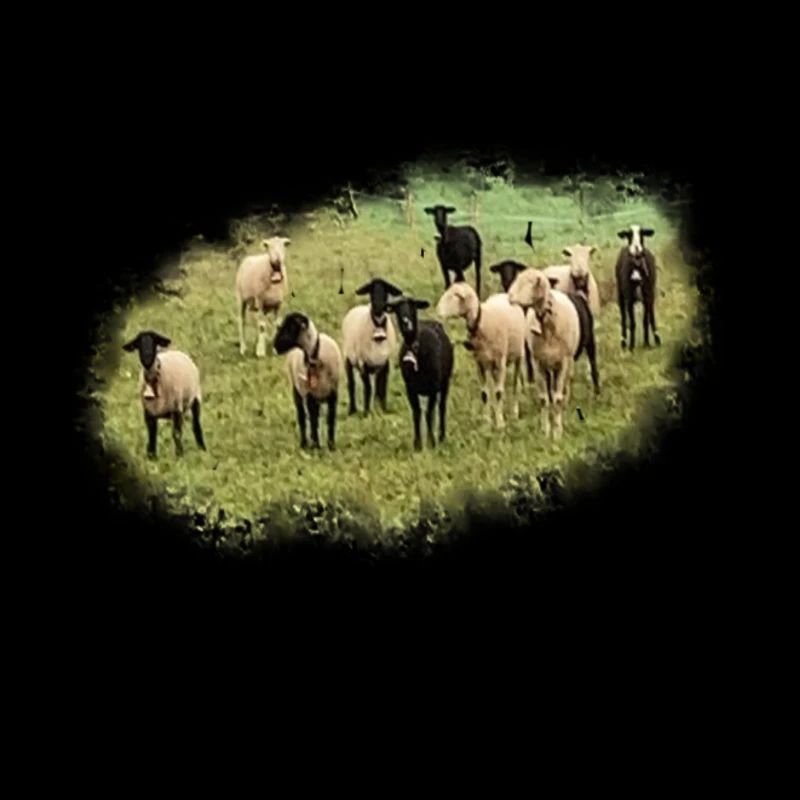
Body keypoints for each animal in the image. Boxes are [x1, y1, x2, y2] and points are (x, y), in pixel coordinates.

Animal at [273, 312, 342, 451]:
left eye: (290, 327)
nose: (275, 346)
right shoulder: (310, 396)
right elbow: (313, 421)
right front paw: (316, 446)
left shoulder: (333, 395)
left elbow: (331, 420)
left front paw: (331, 445)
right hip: (297, 390)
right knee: (302, 418)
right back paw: (304, 443)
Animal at [341, 278, 402, 416]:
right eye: (371, 291)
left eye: (386, 290)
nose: (378, 307)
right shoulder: (363, 363)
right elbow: (368, 388)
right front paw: (366, 412)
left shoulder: (386, 363)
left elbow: (382, 388)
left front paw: (382, 410)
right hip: (348, 358)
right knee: (351, 384)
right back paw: (352, 410)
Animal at [384, 296, 454, 451]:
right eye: (398, 309)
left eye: (413, 306)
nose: (406, 323)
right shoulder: (410, 388)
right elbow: (416, 413)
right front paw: (417, 444)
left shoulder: (433, 387)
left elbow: (429, 413)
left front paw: (431, 442)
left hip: (445, 381)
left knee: (442, 407)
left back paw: (442, 436)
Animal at [436, 282, 526, 429]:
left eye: (455, 295)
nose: (437, 312)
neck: (482, 321)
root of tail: (503, 294)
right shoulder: (480, 364)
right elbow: (485, 394)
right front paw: (486, 422)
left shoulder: (500, 363)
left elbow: (499, 393)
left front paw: (500, 423)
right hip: (490, 365)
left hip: (519, 356)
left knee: (515, 386)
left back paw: (514, 413)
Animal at [508, 270, 599, 439]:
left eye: (529, 282)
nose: (509, 296)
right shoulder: (538, 364)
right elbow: (545, 399)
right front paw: (546, 431)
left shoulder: (562, 362)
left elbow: (556, 399)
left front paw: (557, 433)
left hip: (588, 343)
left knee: (592, 367)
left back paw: (596, 394)